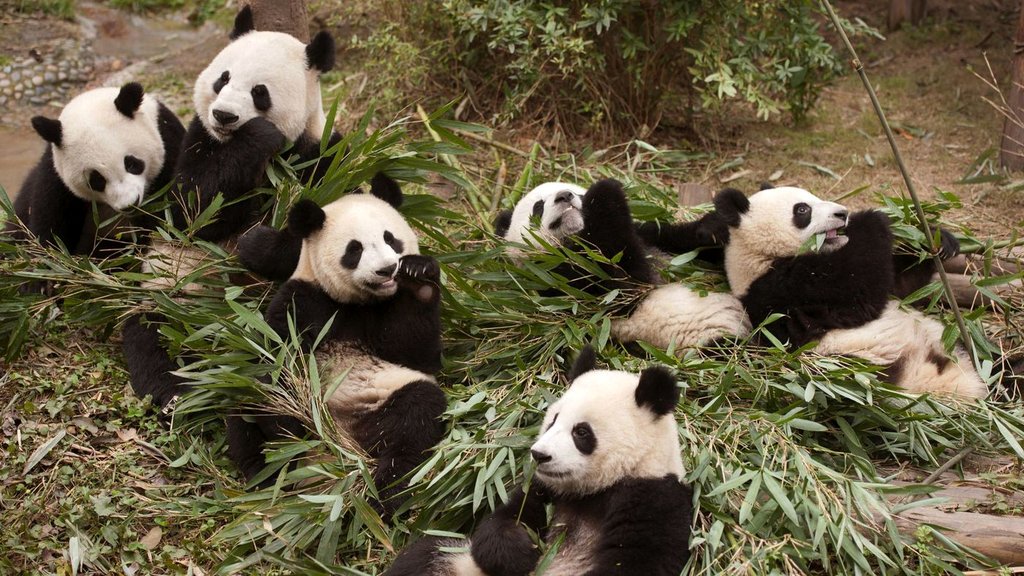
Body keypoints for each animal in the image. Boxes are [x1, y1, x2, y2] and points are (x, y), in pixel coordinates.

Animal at [6, 82, 184, 256]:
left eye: (132, 164)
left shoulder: (169, 144)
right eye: (97, 180)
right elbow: (49, 226)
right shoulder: (55, 177)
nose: (130, 204)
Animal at [224, 177, 447, 516]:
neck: (358, 303)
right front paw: (287, 423)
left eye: (391, 239)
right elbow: (277, 358)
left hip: (385, 397)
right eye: (355, 249)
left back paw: (384, 492)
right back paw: (272, 470)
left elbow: (418, 352)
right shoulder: (304, 298)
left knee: (415, 418)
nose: (387, 269)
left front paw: (418, 276)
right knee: (247, 409)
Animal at [385, 346, 693, 576]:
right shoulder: (544, 489)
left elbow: (635, 562)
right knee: (426, 554)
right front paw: (524, 554)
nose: (540, 455)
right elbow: (502, 523)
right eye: (553, 421)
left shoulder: (654, 499)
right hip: (458, 562)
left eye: (581, 432)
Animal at [495, 179, 750, 350]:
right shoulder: (558, 283)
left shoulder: (650, 239)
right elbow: (623, 285)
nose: (565, 196)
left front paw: (713, 228)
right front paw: (604, 190)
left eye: (577, 193)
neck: (576, 239)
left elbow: (676, 239)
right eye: (538, 207)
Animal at [714, 185, 987, 399]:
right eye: (802, 210)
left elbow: (902, 286)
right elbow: (859, 293)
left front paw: (938, 238)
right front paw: (873, 218)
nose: (842, 213)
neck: (758, 258)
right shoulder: (783, 291)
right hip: (868, 372)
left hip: (952, 339)